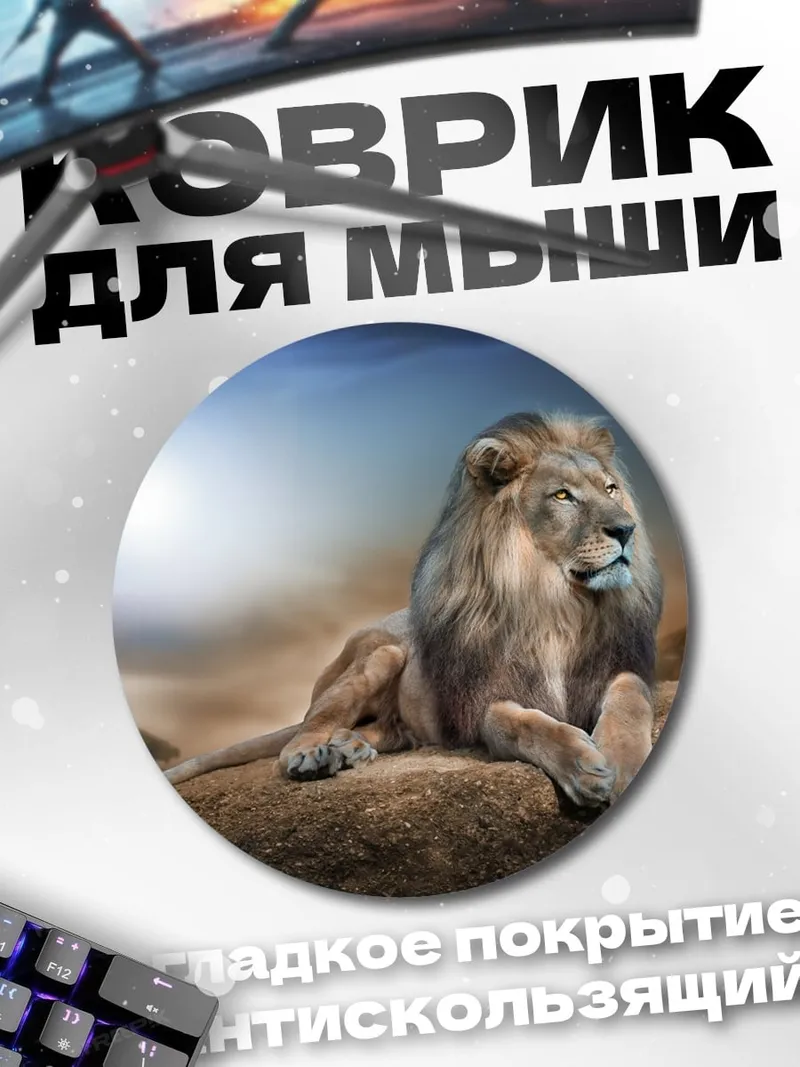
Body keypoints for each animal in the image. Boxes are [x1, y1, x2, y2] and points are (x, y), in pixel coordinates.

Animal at [165, 412, 664, 811]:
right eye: (562, 496)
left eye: (612, 489)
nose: (627, 529)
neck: (556, 603)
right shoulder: (481, 702)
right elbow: (520, 725)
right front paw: (582, 765)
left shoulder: (615, 664)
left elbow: (631, 694)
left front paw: (621, 763)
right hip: (380, 654)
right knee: (304, 730)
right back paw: (314, 755)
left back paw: (349, 748)